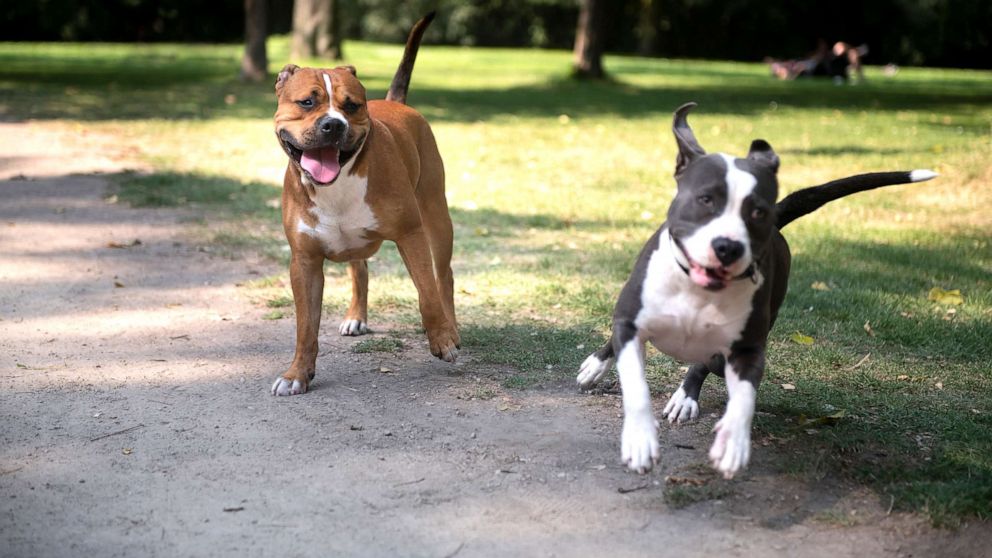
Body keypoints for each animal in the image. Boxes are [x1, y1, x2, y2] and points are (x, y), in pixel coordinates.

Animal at [270, 14, 460, 398]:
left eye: (352, 105)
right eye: (306, 103)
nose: (333, 124)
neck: (338, 182)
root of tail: (396, 102)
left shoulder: (411, 235)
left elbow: (427, 293)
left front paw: (442, 338)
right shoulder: (304, 262)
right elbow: (305, 326)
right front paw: (298, 374)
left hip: (436, 218)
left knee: (443, 277)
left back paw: (453, 327)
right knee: (360, 270)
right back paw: (356, 317)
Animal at [576, 103, 932, 480]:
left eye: (758, 211)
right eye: (706, 199)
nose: (728, 246)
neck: (698, 292)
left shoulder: (746, 350)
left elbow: (744, 399)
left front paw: (733, 442)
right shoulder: (630, 324)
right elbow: (635, 384)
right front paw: (640, 439)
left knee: (705, 365)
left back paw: (686, 397)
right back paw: (596, 366)